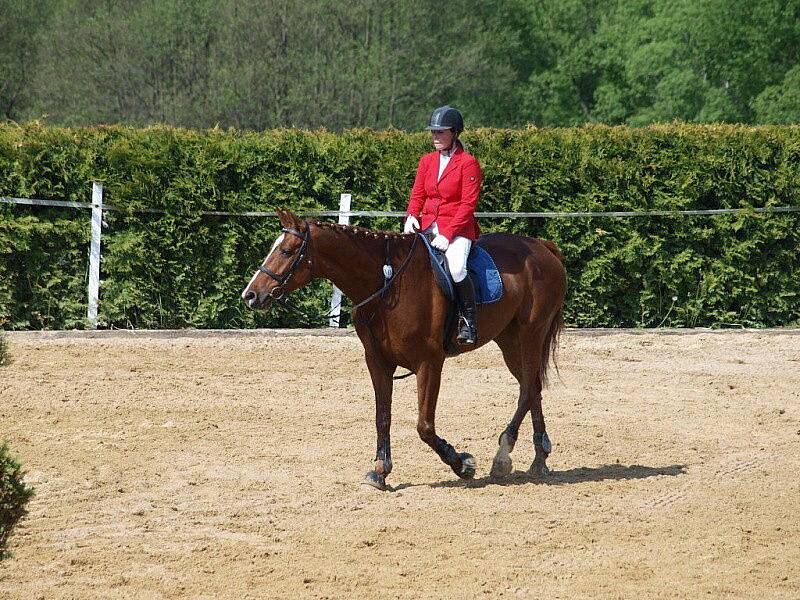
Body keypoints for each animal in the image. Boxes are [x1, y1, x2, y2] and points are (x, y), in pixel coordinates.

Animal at [241, 209, 564, 490]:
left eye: (286, 251)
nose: (250, 295)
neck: (386, 285)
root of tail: (542, 247)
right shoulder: (377, 362)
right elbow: (382, 416)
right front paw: (380, 471)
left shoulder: (430, 362)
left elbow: (424, 426)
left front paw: (462, 463)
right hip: (509, 341)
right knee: (532, 387)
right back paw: (539, 458)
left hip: (530, 334)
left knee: (527, 389)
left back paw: (503, 455)